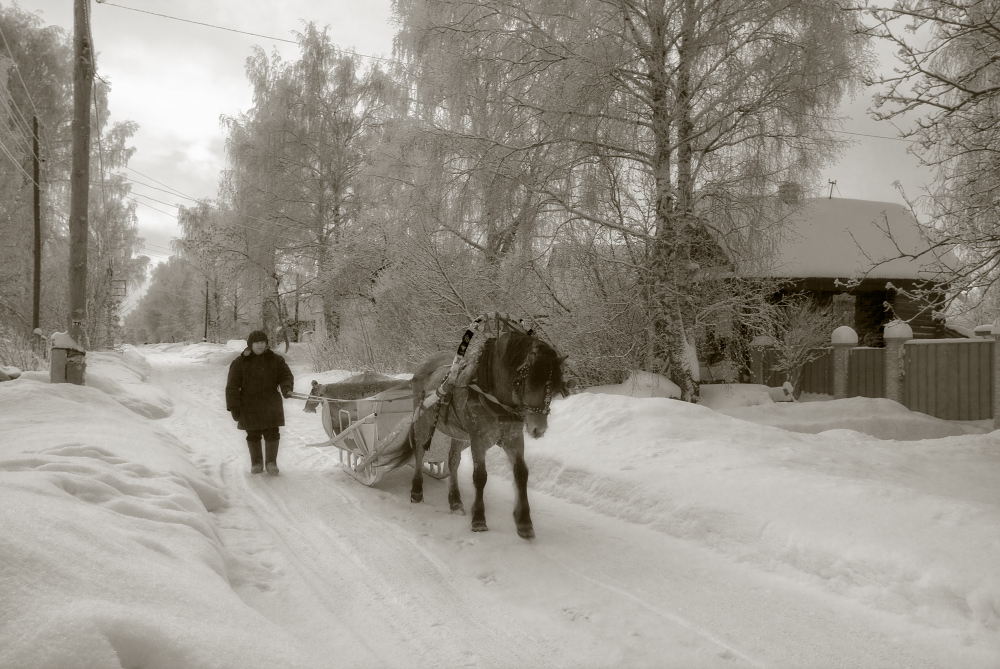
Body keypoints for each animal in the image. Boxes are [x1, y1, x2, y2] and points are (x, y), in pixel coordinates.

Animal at [388, 332, 572, 540]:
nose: (538, 429)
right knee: (419, 453)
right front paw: (478, 519)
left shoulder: (513, 438)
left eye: (555, 389)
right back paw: (417, 491)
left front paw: (524, 521)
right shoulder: (478, 439)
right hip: (423, 422)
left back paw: (455, 501)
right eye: (526, 382)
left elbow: (521, 473)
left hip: (459, 434)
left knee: (453, 461)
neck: (493, 395)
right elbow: (480, 476)